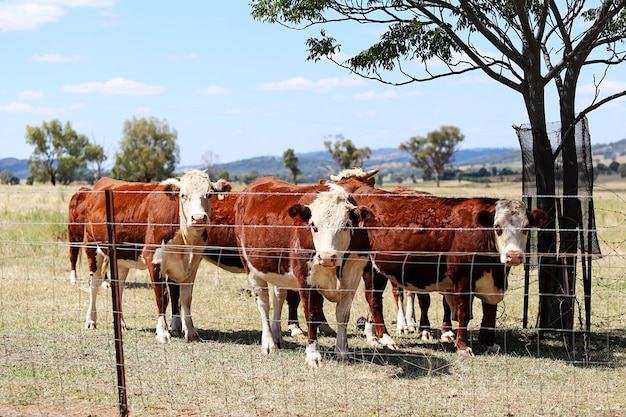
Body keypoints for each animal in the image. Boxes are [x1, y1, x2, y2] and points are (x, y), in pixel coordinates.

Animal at [81, 169, 229, 342]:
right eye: (183, 195)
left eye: (209, 194)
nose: (198, 218)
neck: (185, 241)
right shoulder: (154, 259)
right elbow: (162, 297)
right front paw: (163, 333)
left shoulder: (193, 264)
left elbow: (186, 298)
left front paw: (191, 332)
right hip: (92, 248)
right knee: (94, 284)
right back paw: (91, 320)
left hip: (120, 259)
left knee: (118, 287)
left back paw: (121, 323)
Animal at [233, 177, 386, 366]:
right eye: (313, 226)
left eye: (345, 225)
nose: (327, 257)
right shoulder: (305, 279)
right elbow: (311, 314)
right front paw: (313, 355)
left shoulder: (352, 278)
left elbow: (343, 315)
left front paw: (342, 352)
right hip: (251, 268)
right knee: (263, 303)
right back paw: (268, 343)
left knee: (278, 297)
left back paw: (277, 336)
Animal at [344, 180, 544, 356]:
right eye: (497, 227)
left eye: (526, 227)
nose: (514, 255)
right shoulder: (462, 278)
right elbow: (464, 312)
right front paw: (463, 346)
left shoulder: (493, 282)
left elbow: (489, 313)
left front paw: (491, 344)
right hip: (371, 268)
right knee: (374, 300)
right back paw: (386, 339)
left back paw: (375, 337)